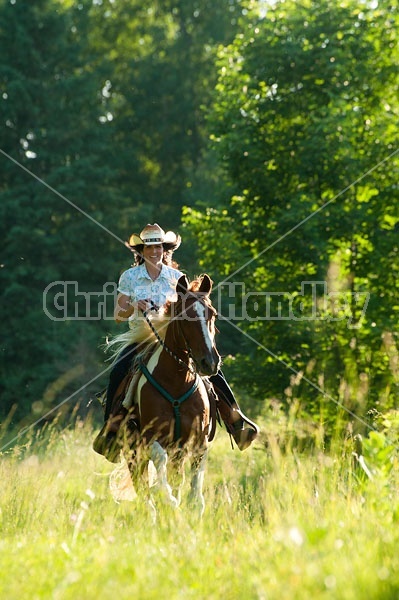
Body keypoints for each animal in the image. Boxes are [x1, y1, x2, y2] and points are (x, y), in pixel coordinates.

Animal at [109, 274, 222, 512]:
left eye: (213, 314)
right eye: (184, 316)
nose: (209, 362)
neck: (176, 383)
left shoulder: (198, 441)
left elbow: (195, 493)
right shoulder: (151, 438)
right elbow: (160, 466)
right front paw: (167, 498)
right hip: (133, 453)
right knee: (144, 490)